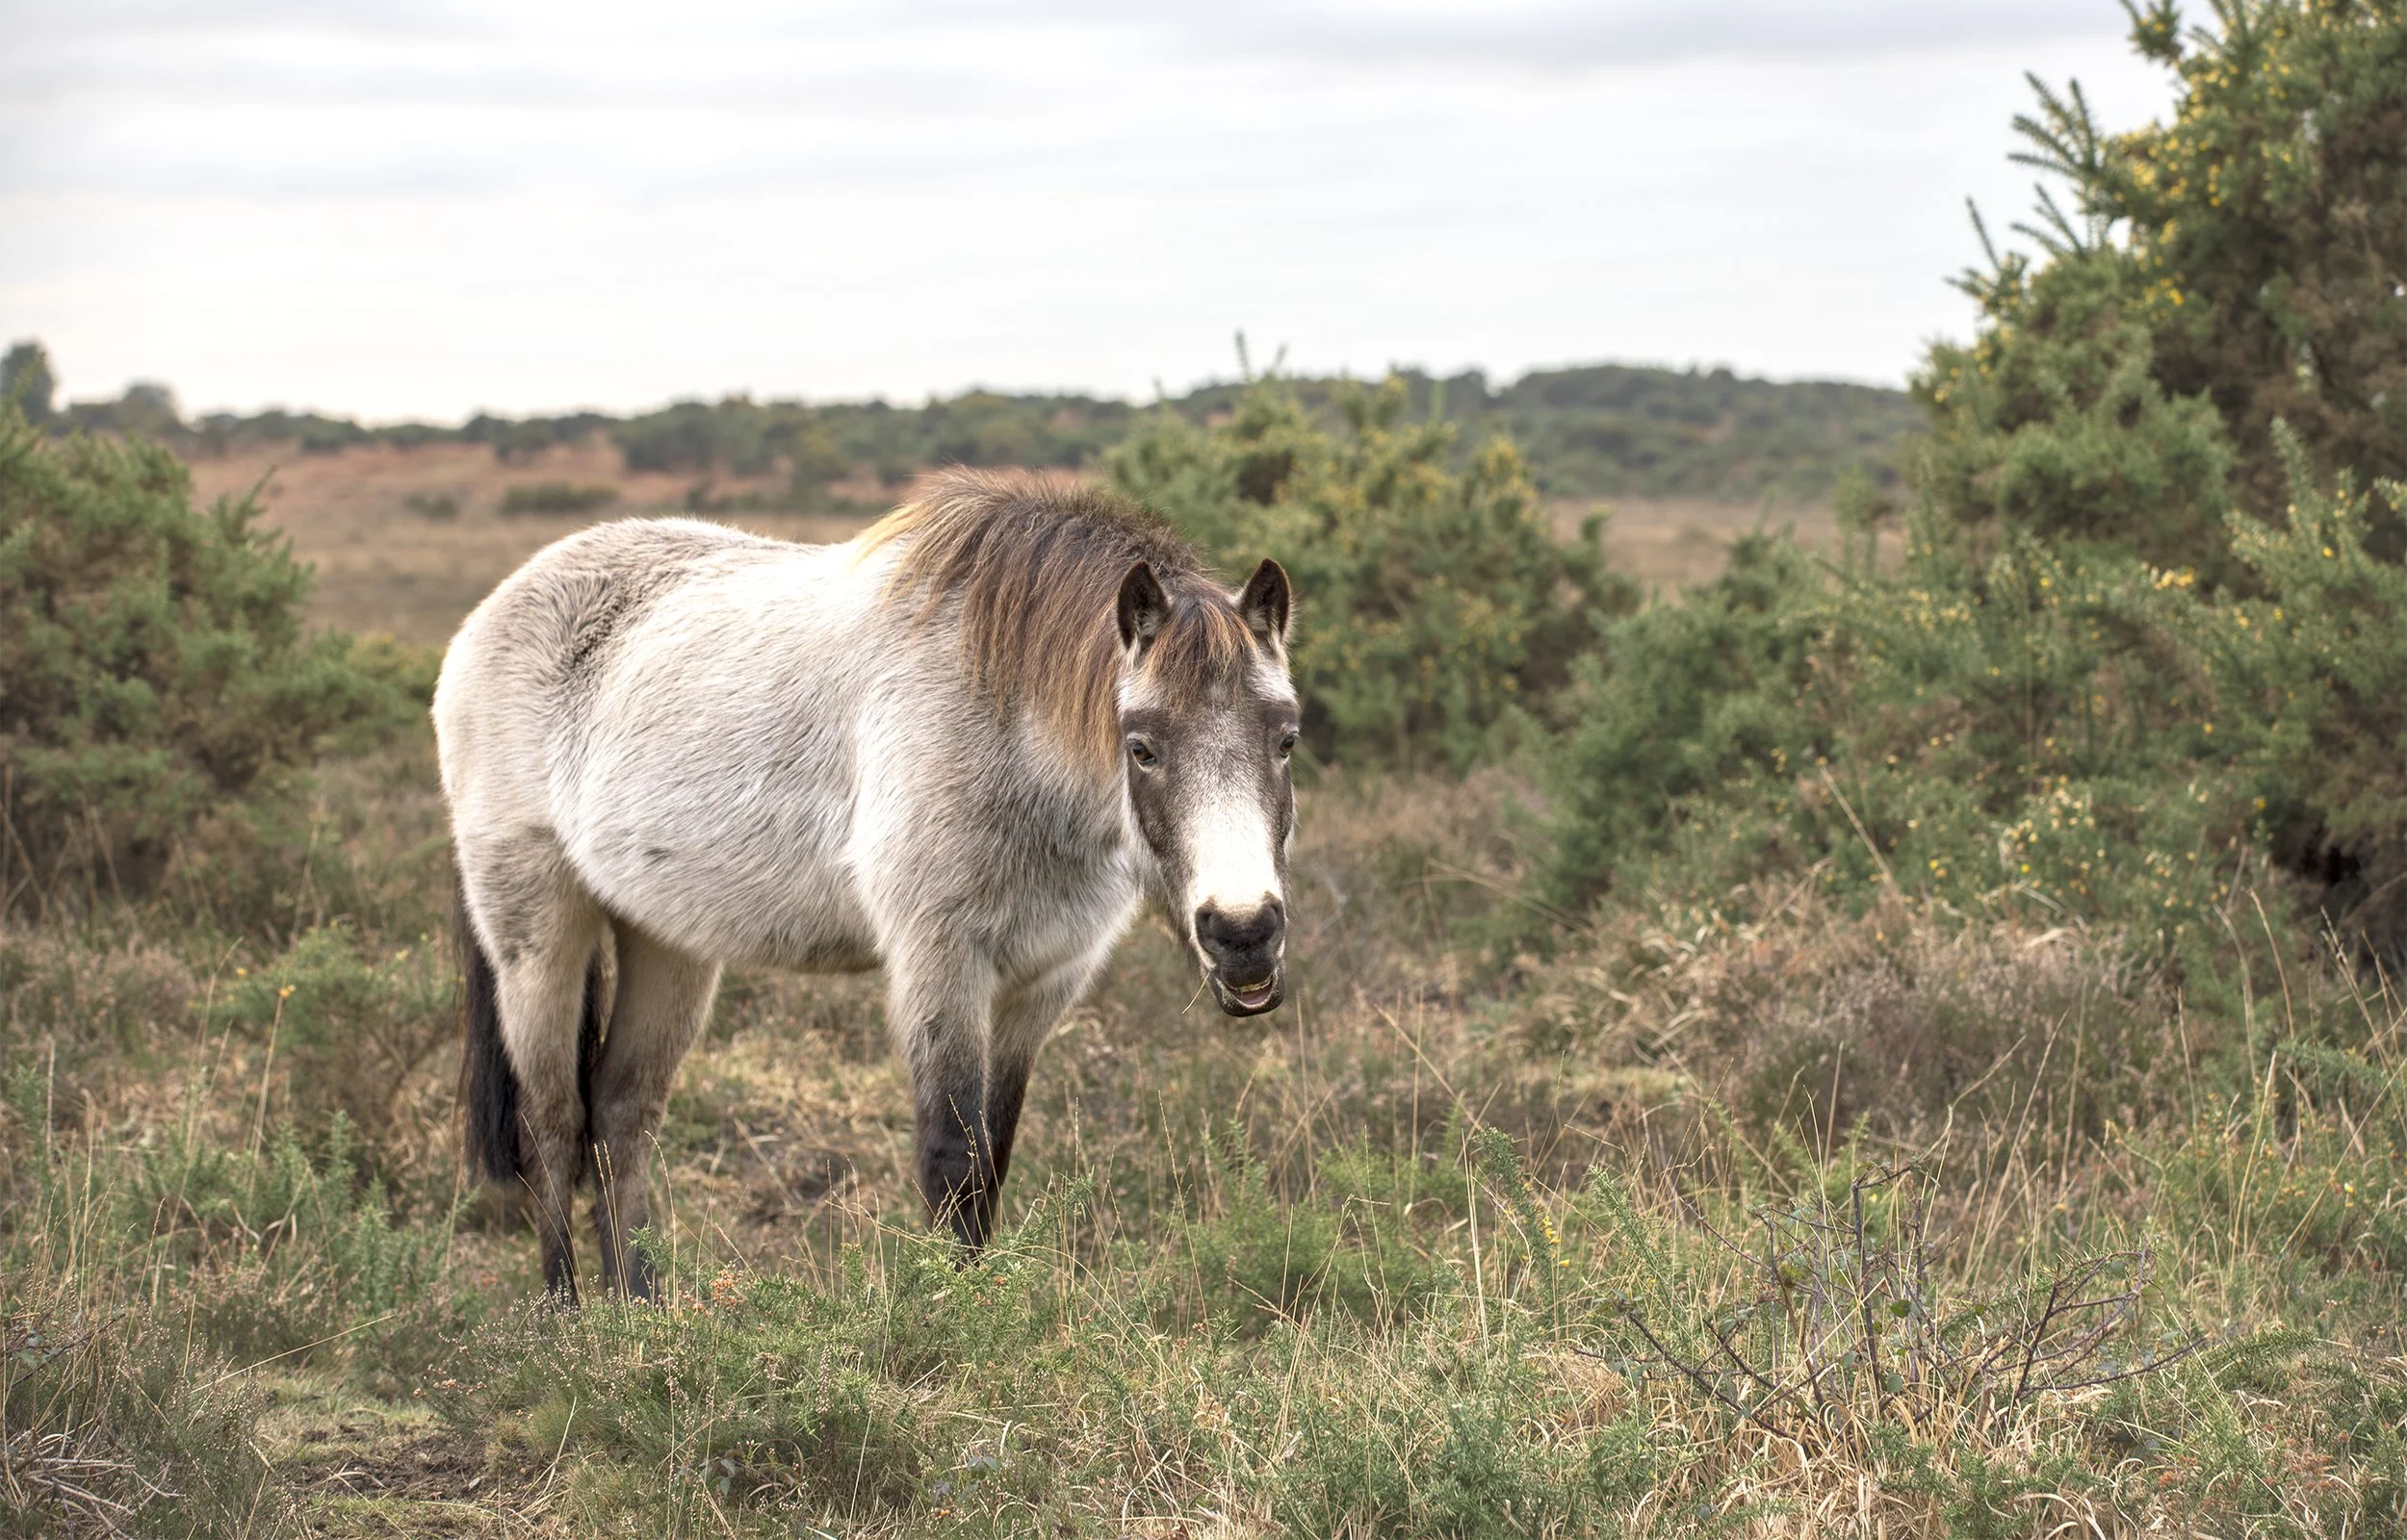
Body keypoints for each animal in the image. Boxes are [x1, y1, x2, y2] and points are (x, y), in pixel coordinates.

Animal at [434, 470, 1299, 1299]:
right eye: (1143, 746)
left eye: (1286, 737)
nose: (1244, 934)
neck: (1006, 725)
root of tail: (486, 617)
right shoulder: (941, 966)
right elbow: (952, 1161)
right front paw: (957, 1323)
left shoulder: (1040, 986)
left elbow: (992, 1165)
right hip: (539, 941)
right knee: (553, 1121)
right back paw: (568, 1318)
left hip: (666, 943)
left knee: (621, 1114)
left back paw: (640, 1313)